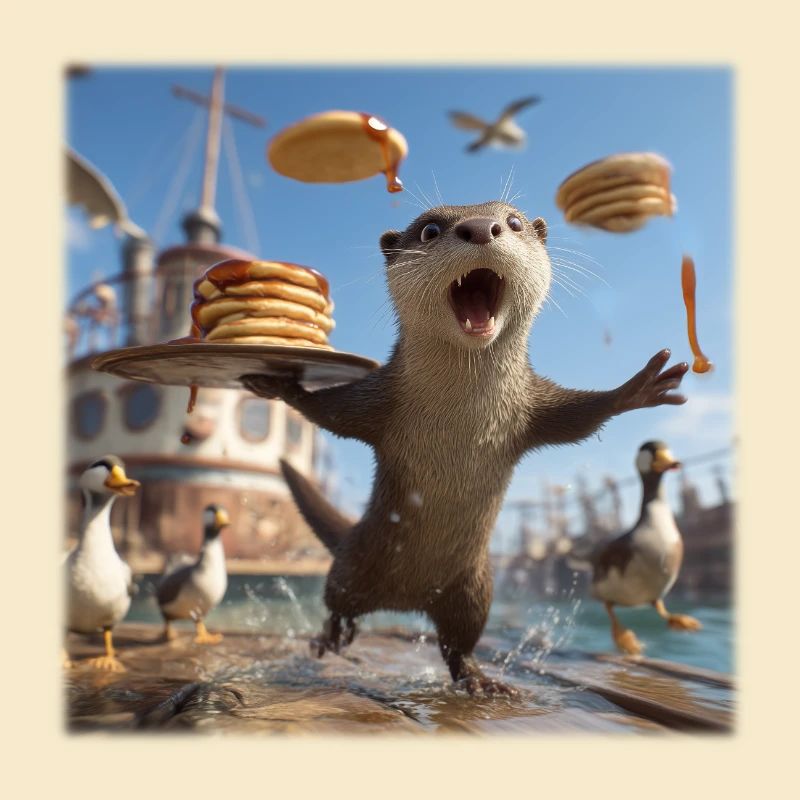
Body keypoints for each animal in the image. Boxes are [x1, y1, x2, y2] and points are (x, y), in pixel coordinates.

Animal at [242, 201, 688, 696]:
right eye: (430, 230)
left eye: (513, 222)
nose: (480, 227)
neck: (462, 411)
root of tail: (407, 598)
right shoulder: (379, 401)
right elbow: (332, 413)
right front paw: (282, 385)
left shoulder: (530, 409)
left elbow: (578, 417)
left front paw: (638, 389)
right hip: (354, 565)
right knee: (339, 605)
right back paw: (329, 638)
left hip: (474, 590)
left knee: (457, 643)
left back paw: (479, 680)